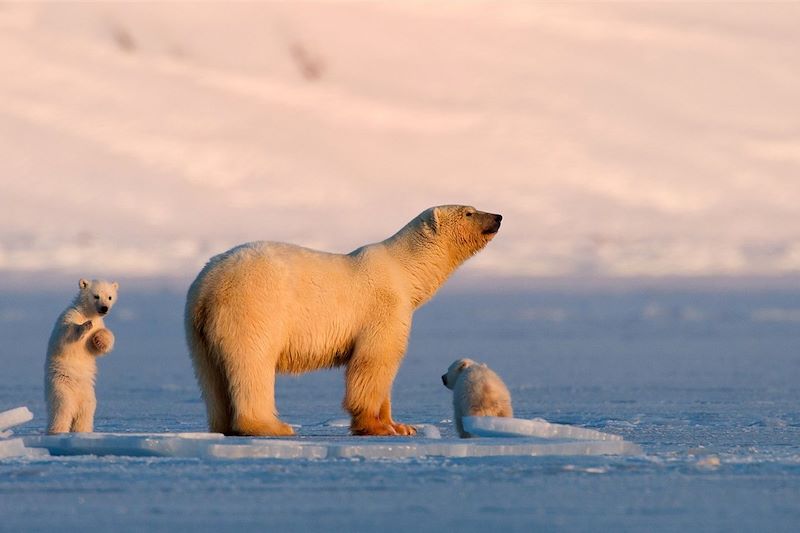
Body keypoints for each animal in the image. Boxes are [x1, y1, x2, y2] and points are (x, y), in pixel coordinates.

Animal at [46, 278, 118, 432]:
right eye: (96, 296)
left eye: (109, 297)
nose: (104, 308)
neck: (87, 313)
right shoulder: (69, 315)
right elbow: (64, 335)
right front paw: (85, 326)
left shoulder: (99, 322)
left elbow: (96, 346)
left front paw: (99, 339)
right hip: (61, 388)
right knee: (62, 411)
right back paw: (57, 431)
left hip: (88, 395)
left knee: (84, 415)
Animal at [185, 206, 504, 434]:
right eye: (469, 211)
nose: (498, 216)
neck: (404, 270)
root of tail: (207, 286)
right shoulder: (383, 308)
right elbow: (374, 362)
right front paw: (378, 427)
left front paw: (402, 426)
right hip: (254, 308)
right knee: (252, 363)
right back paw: (271, 426)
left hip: (197, 328)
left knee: (211, 376)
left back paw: (224, 426)